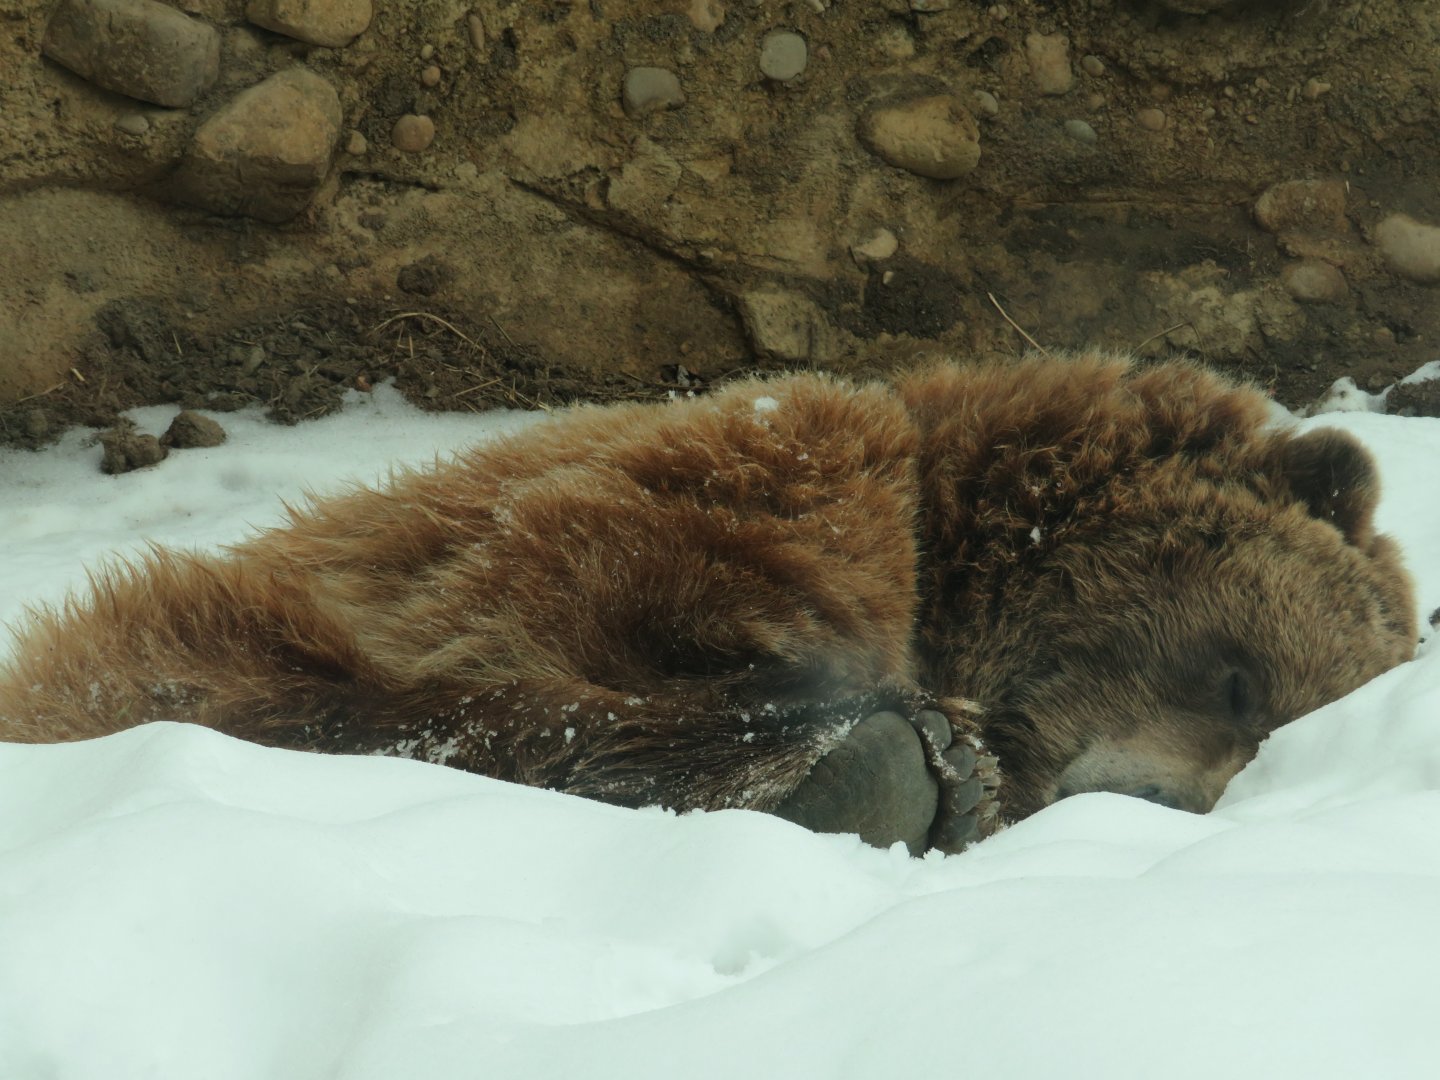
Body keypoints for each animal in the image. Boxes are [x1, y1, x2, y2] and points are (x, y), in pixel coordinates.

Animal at [0, 353, 1418, 854]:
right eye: (1241, 677)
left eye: (1272, 738)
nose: (1159, 801)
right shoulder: (791, 468)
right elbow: (568, 590)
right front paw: (901, 741)